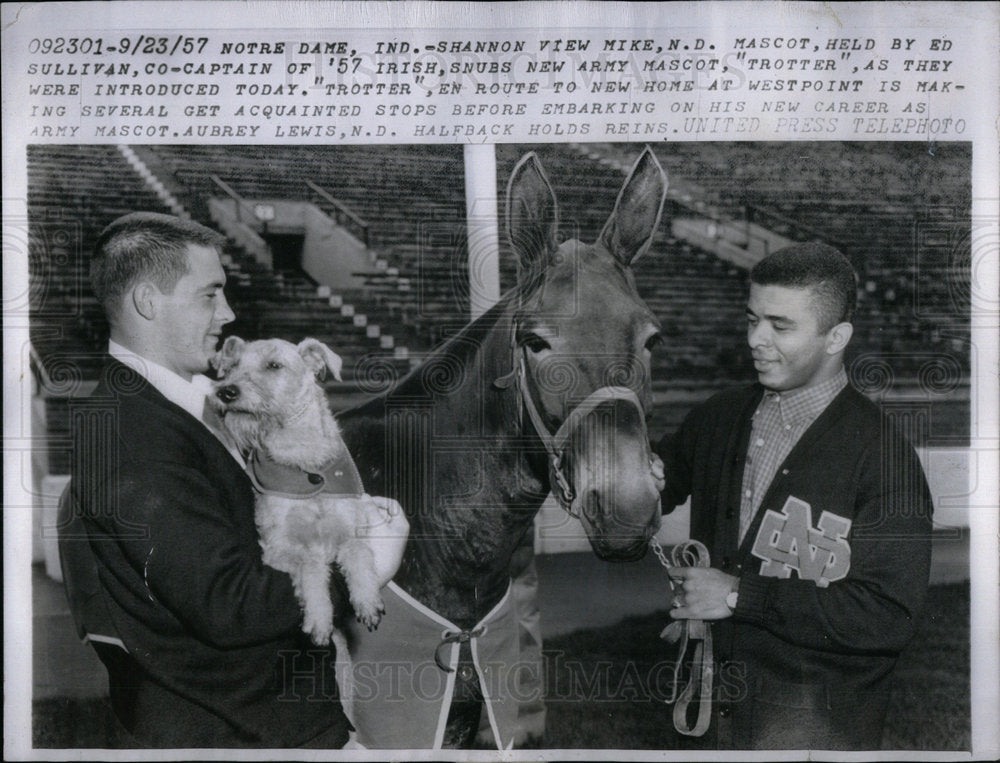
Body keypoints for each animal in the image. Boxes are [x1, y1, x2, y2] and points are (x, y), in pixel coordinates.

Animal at [209, 338, 384, 640]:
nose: (225, 392)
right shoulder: (277, 547)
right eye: (231, 366)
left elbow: (359, 552)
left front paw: (368, 600)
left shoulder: (348, 529)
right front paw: (319, 616)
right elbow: (310, 563)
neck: (304, 461)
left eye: (274, 365)